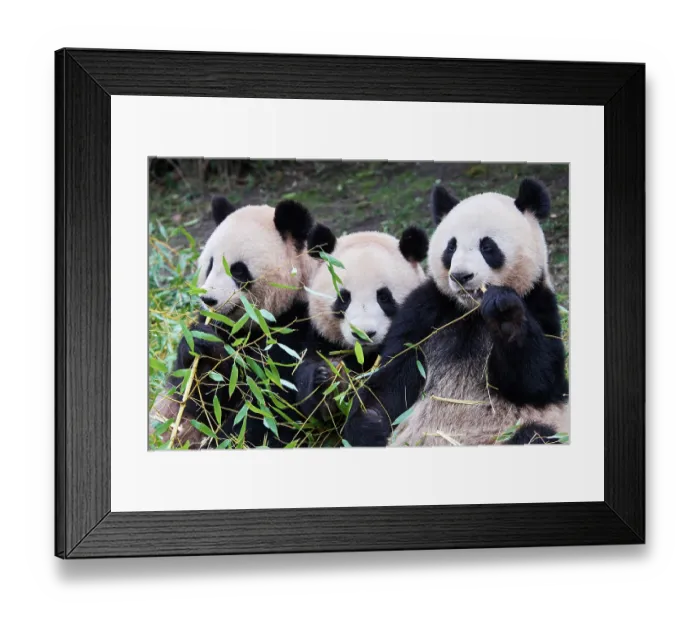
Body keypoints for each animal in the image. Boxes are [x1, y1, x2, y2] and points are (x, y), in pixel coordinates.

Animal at [149, 195, 318, 449]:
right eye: (210, 264)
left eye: (238, 270)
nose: (209, 299)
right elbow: (198, 398)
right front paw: (201, 348)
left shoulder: (297, 328)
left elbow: (270, 407)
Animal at [293, 224, 429, 423]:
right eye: (344, 298)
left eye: (383, 297)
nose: (363, 334)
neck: (363, 355)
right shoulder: (321, 339)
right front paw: (327, 379)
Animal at [342, 178, 569, 448]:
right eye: (451, 247)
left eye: (487, 246)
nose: (461, 276)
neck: (470, 311)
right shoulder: (426, 311)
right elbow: (392, 376)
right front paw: (368, 427)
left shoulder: (539, 302)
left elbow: (539, 382)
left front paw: (504, 315)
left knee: (536, 434)